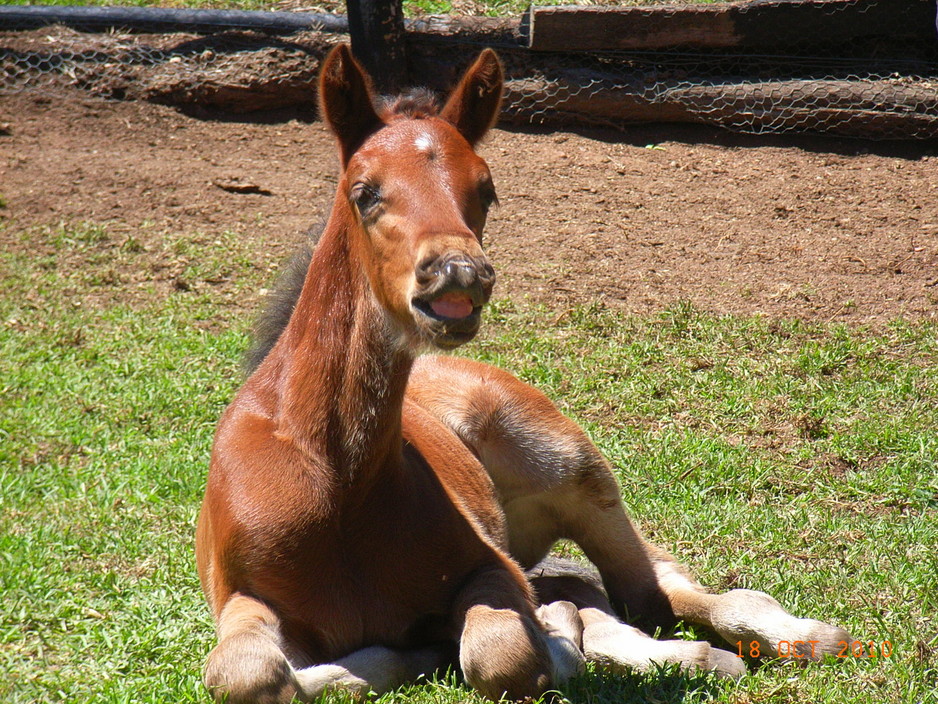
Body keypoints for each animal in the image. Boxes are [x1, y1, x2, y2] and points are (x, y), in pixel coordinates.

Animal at [194, 46, 852, 700]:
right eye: (365, 191)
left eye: (485, 191)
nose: (456, 276)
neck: (333, 479)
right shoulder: (243, 596)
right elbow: (249, 673)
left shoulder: (492, 565)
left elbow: (503, 653)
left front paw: (546, 640)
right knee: (602, 593)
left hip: (570, 466)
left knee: (653, 589)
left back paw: (797, 637)